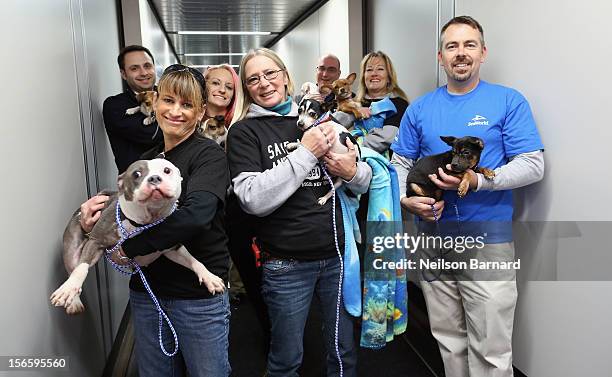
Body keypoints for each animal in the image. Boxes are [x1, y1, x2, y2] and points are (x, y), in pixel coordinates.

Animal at [50, 159, 225, 314]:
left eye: (167, 170)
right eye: (136, 174)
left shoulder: (173, 249)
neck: (142, 223)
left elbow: (194, 261)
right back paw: (74, 301)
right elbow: (81, 268)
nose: (154, 178)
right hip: (71, 250)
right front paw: (67, 289)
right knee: (73, 267)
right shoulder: (95, 241)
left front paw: (209, 277)